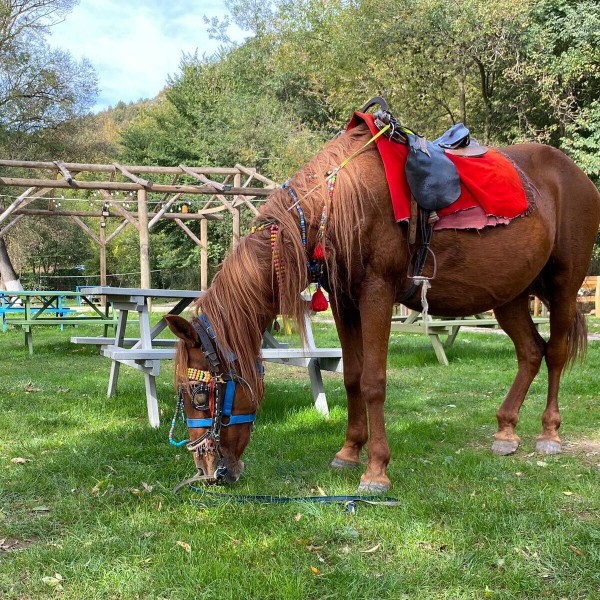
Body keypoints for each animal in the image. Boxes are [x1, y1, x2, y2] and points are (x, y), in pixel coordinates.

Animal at [164, 123, 600, 492]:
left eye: (200, 393)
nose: (206, 470)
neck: (336, 202)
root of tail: (578, 177)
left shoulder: (376, 293)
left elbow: (373, 382)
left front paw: (375, 470)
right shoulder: (344, 300)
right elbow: (353, 377)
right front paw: (348, 452)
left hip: (564, 286)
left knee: (555, 352)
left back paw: (549, 433)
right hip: (509, 294)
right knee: (530, 352)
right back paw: (506, 430)